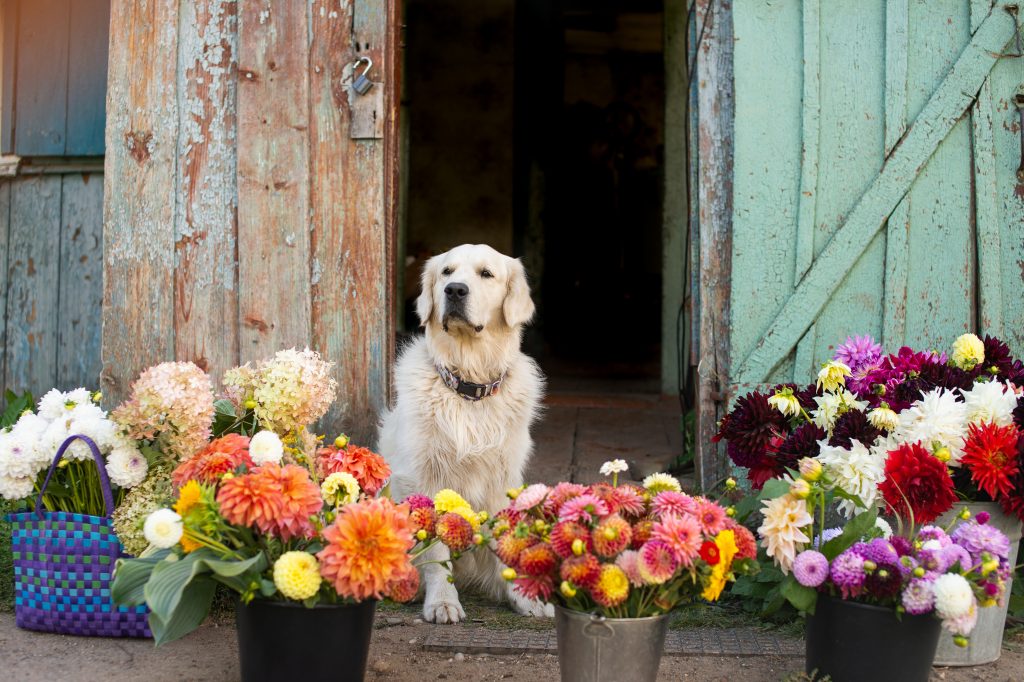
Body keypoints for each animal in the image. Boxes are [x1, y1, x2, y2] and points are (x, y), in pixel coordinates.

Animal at [378, 241, 552, 618]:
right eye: (447, 272)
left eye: (486, 273)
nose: (455, 290)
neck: (469, 387)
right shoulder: (424, 478)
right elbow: (436, 551)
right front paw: (442, 601)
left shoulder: (502, 478)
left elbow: (506, 539)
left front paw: (523, 596)